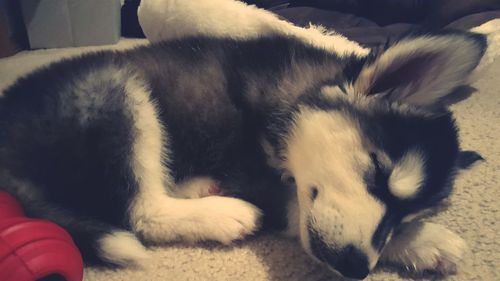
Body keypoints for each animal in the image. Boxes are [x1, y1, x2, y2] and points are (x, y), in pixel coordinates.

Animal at [0, 30, 484, 276]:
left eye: (406, 214)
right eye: (377, 173)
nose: (356, 268)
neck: (292, 93)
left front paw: (417, 239)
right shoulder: (254, 166)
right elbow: (294, 210)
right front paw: (428, 241)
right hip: (114, 90)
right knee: (141, 212)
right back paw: (221, 213)